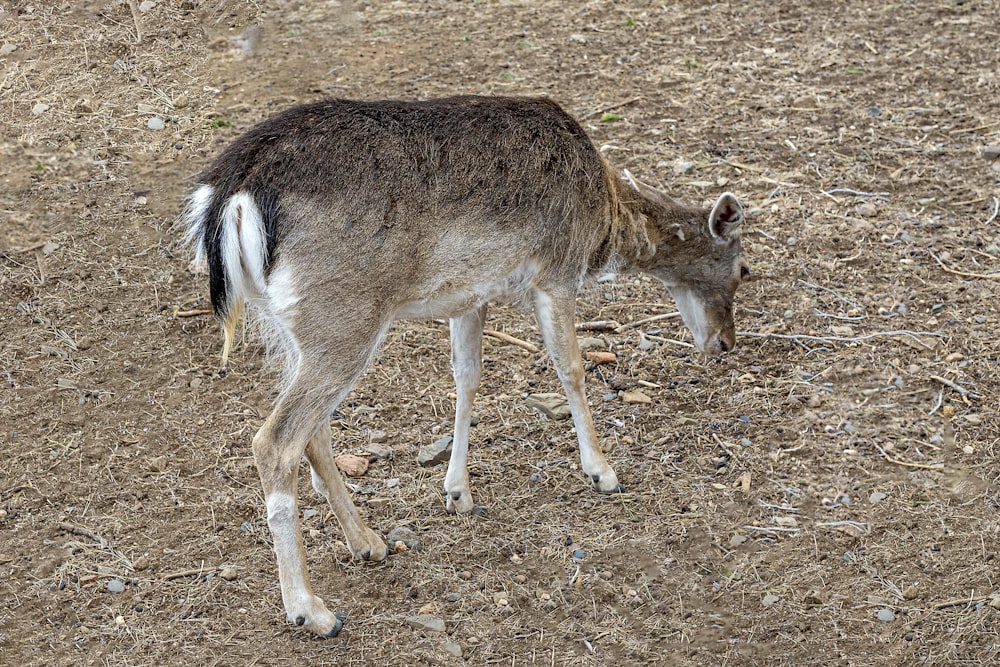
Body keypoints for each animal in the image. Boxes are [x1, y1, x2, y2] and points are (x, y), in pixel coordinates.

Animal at [184, 94, 752, 636]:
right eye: (744, 268)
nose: (725, 343)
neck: (604, 218)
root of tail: (228, 196)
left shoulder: (470, 295)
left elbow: (467, 375)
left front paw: (457, 491)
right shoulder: (555, 271)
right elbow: (571, 367)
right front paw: (602, 472)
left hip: (293, 328)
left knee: (313, 431)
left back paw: (368, 541)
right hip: (344, 318)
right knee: (275, 440)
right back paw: (311, 611)